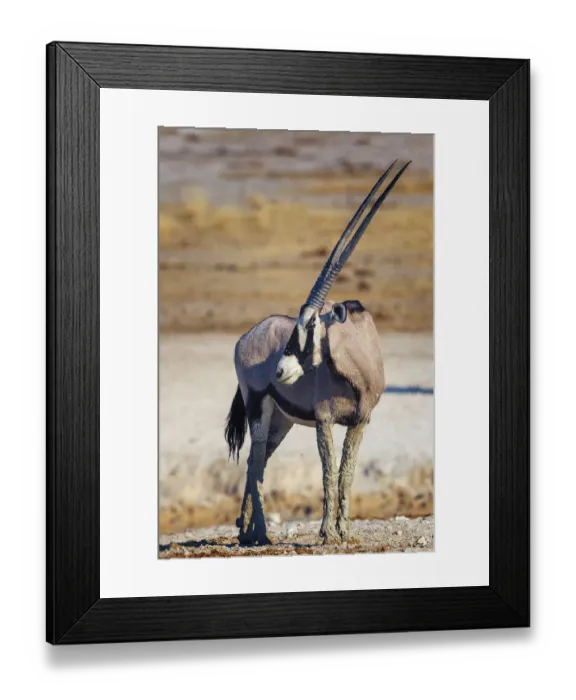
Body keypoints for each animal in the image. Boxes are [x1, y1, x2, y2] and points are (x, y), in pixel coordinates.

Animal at [224, 160, 411, 545]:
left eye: (310, 324)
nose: (280, 371)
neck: (359, 370)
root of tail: (245, 337)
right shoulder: (324, 420)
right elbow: (328, 472)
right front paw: (328, 533)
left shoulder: (360, 421)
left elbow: (346, 473)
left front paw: (345, 530)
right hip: (258, 407)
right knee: (255, 463)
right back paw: (260, 532)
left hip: (281, 421)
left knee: (256, 462)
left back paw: (246, 531)